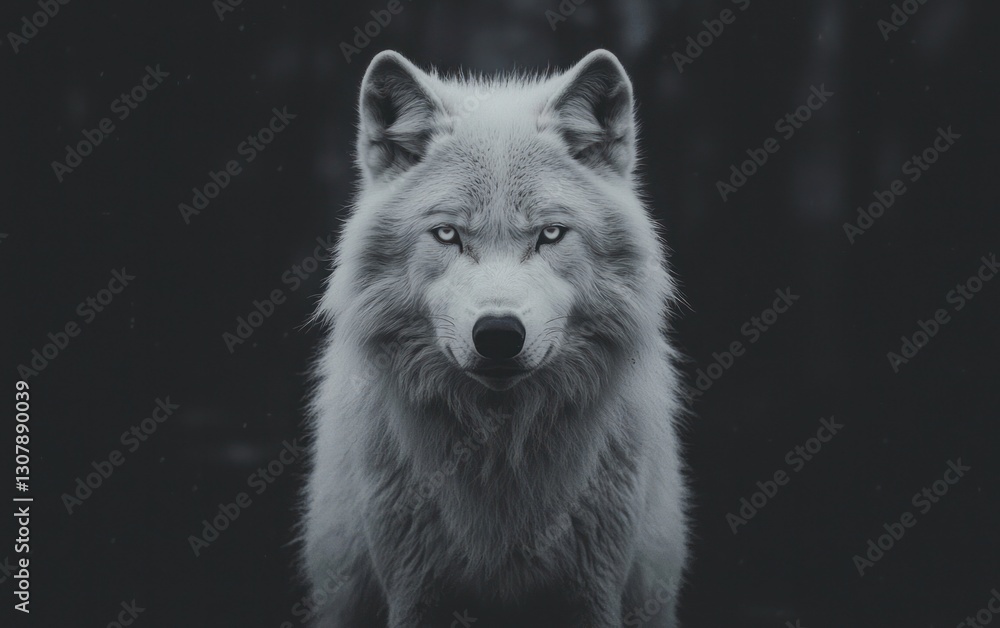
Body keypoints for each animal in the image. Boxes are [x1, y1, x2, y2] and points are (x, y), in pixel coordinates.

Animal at [301, 49, 689, 628]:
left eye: (550, 234)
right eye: (447, 234)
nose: (500, 334)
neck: (500, 448)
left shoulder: (594, 591)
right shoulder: (414, 590)